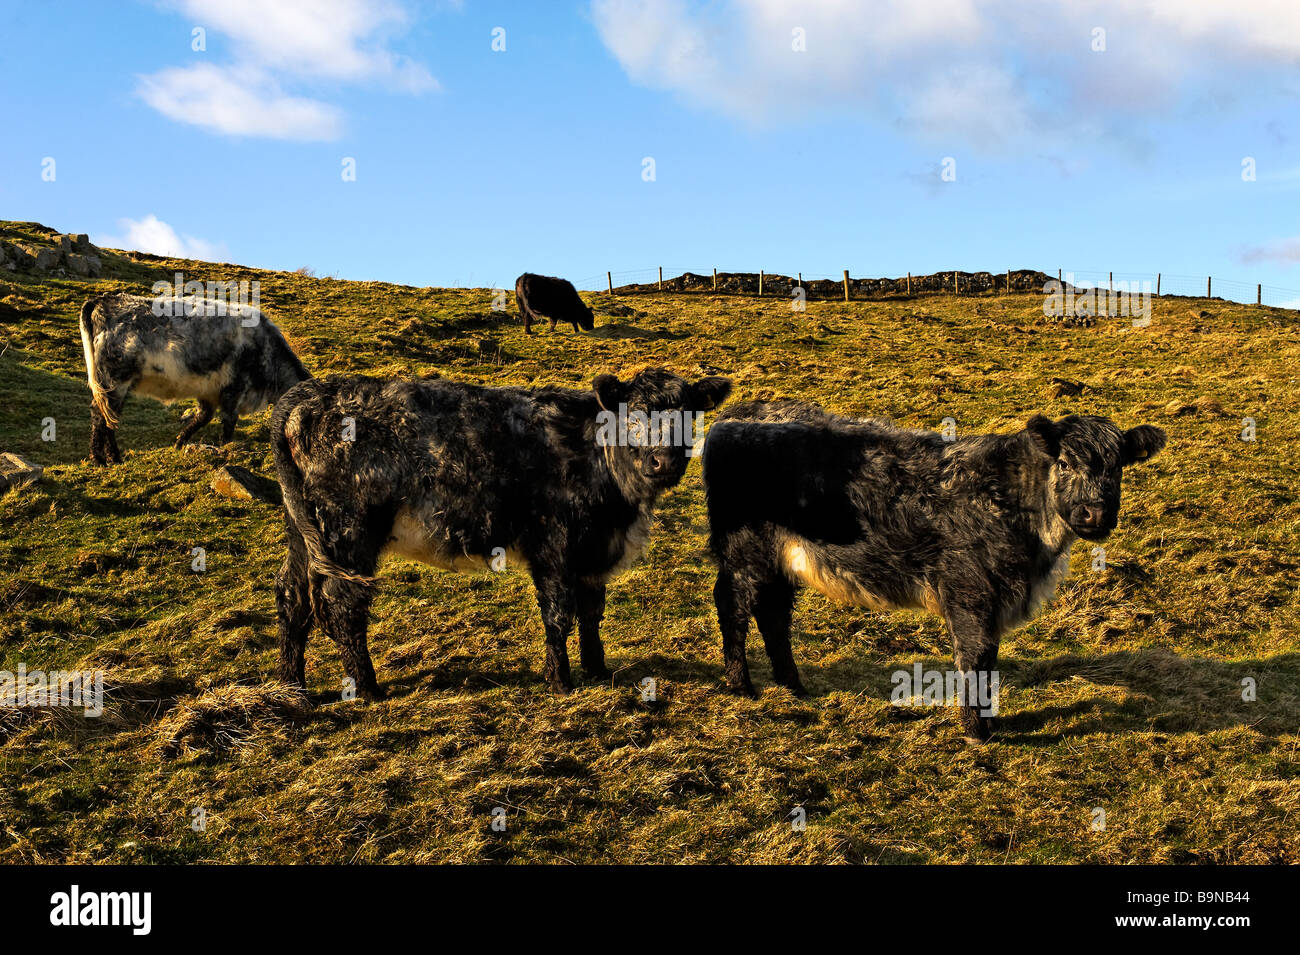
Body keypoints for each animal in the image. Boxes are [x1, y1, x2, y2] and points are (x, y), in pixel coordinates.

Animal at [78, 294, 309, 467]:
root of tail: (103, 300)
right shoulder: (234, 387)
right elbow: (228, 421)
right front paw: (225, 448)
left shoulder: (208, 390)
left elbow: (203, 417)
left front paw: (180, 443)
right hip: (115, 382)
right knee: (103, 416)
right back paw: (105, 458)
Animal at [271, 369, 733, 696]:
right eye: (634, 414)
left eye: (689, 413)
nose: (663, 461)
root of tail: (311, 392)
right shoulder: (554, 543)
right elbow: (559, 614)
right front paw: (561, 682)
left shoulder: (592, 549)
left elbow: (591, 612)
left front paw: (598, 670)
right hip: (349, 531)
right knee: (343, 603)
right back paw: (367, 688)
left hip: (306, 531)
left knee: (292, 594)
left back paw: (293, 687)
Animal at [702, 400, 1170, 743]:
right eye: (1066, 464)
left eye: (1118, 466)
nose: (1096, 513)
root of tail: (740, 412)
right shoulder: (968, 591)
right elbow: (974, 657)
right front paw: (977, 731)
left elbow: (989, 659)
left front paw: (988, 722)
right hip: (743, 549)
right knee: (733, 605)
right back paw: (741, 685)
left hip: (778, 556)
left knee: (773, 613)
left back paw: (793, 686)